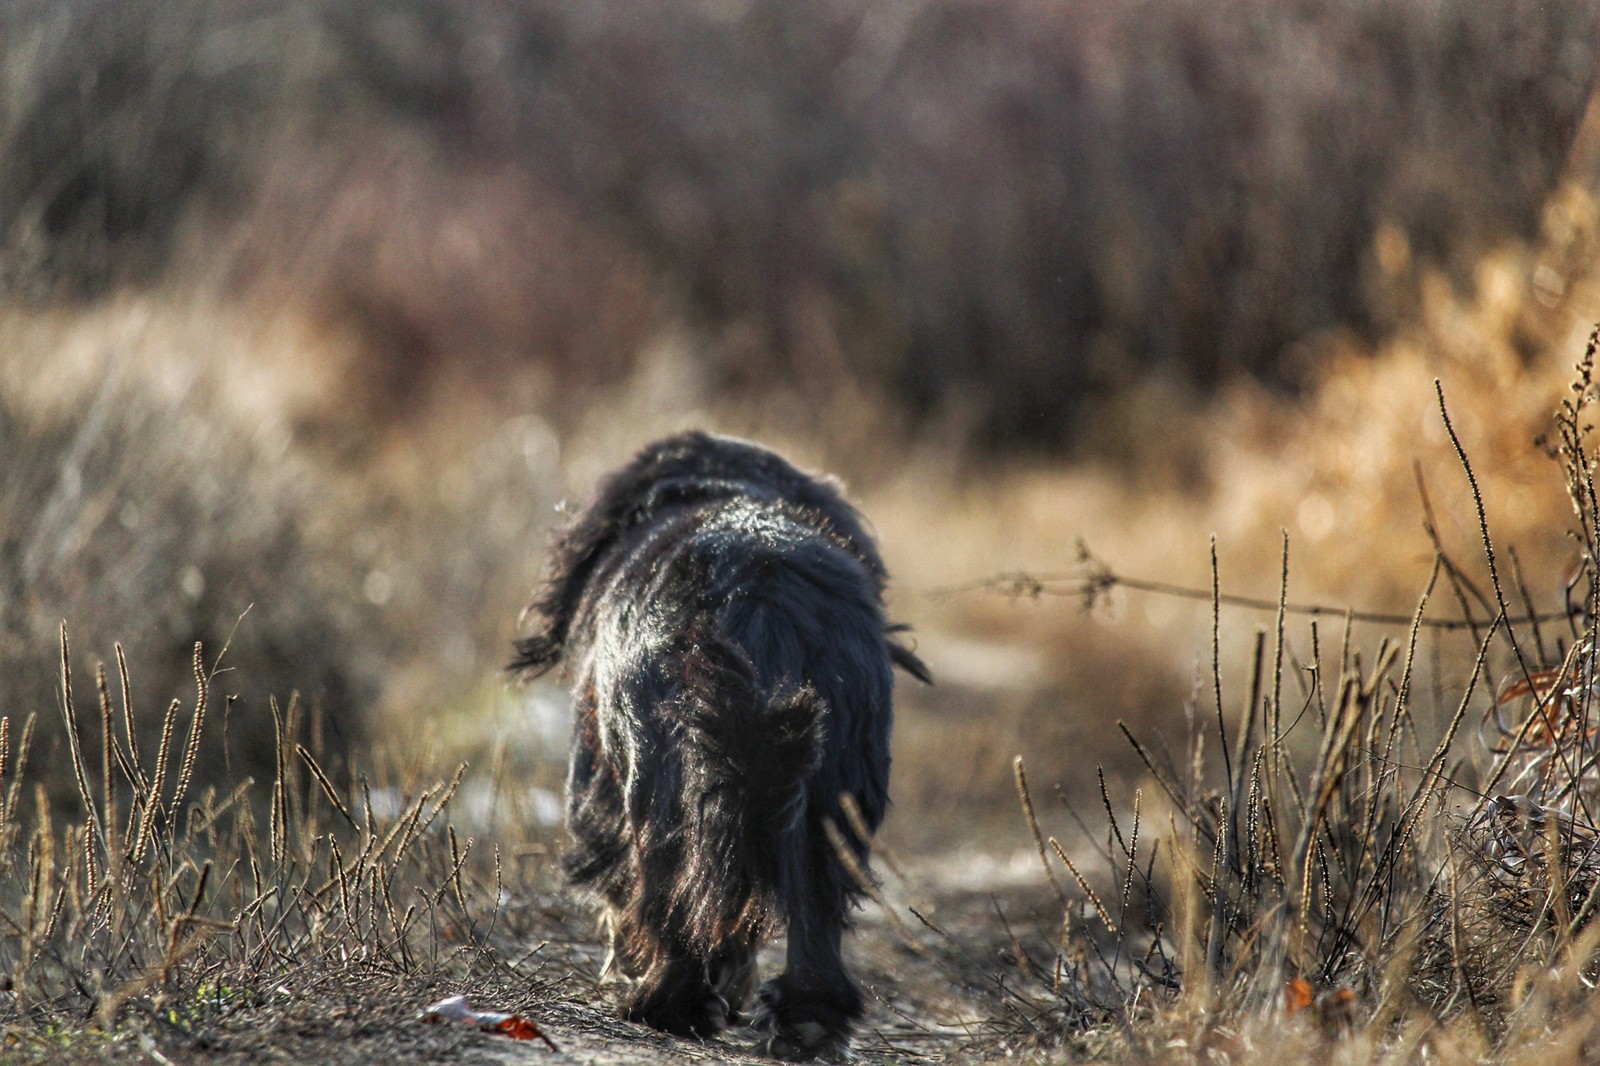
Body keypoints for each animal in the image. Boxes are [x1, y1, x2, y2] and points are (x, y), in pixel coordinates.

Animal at [512, 428, 928, 1056]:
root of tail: (763, 589)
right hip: (834, 778)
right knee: (815, 903)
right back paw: (807, 1024)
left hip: (657, 774)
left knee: (673, 891)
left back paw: (664, 1005)